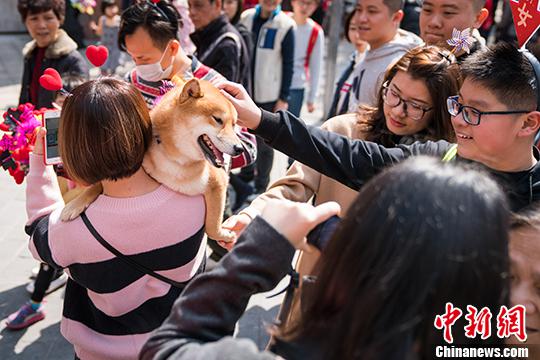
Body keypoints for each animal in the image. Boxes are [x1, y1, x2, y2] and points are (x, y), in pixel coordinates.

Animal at [60, 79, 243, 242]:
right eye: (217, 119)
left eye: (234, 124)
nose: (240, 148)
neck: (177, 159)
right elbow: (96, 185)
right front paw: (74, 205)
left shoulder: (218, 182)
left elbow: (212, 226)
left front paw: (224, 235)